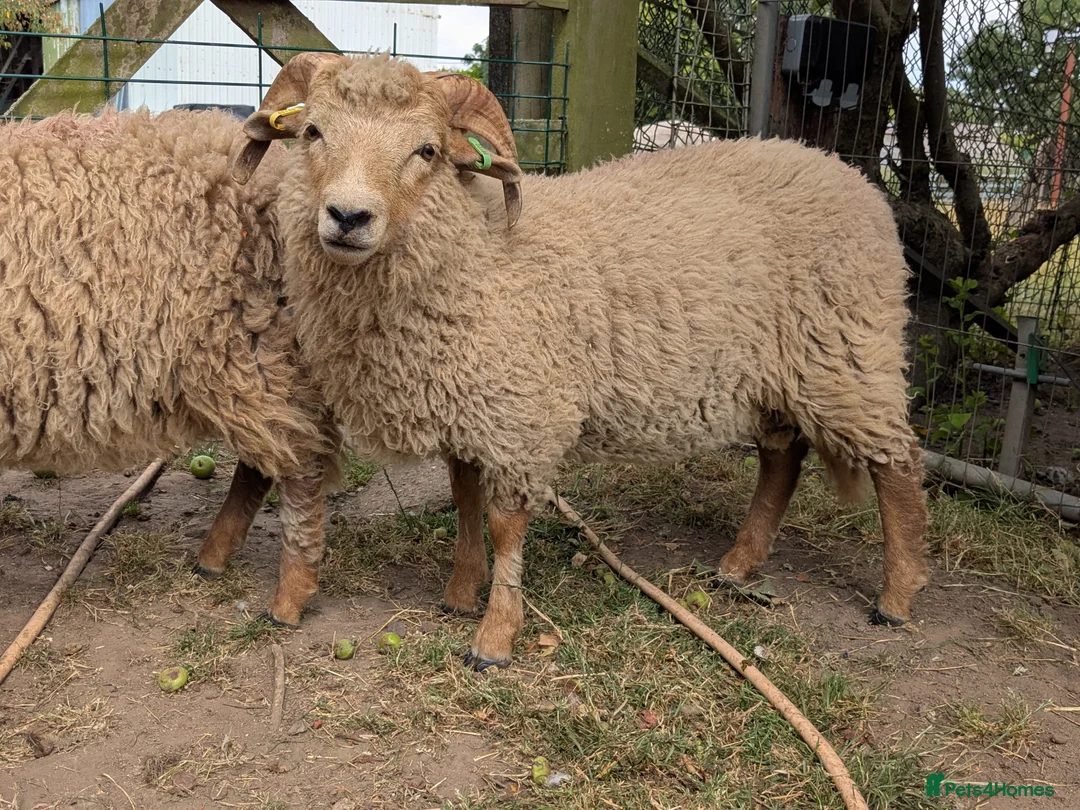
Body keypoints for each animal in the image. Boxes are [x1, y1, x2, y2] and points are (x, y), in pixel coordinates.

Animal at [230, 53, 930, 670]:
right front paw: (460, 593)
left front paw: (494, 638)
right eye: (313, 132)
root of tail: (851, 178)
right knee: (782, 460)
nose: (348, 216)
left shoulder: (520, 413)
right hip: (778, 371)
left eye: (426, 151)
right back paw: (737, 566)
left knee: (896, 466)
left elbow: (505, 524)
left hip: (848, 353)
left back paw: (896, 597)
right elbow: (463, 499)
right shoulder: (468, 401)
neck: (476, 252)